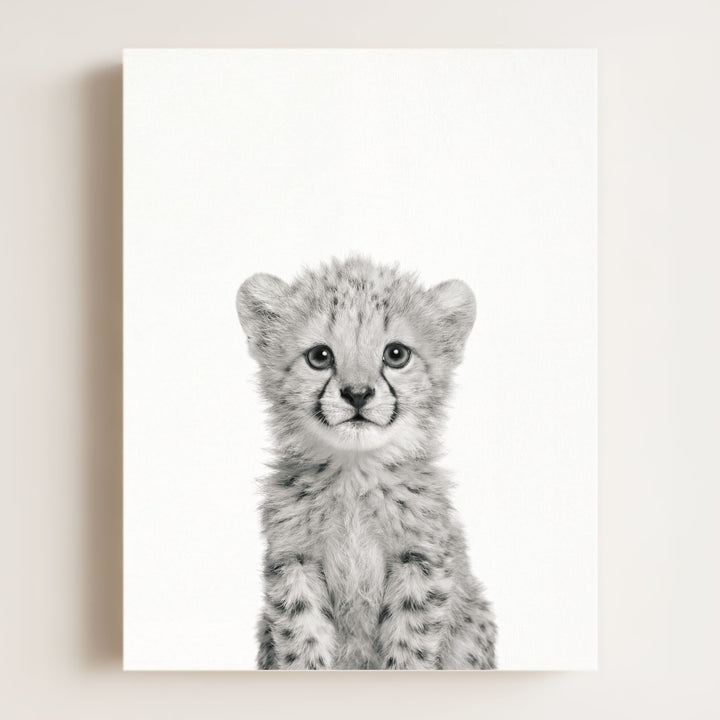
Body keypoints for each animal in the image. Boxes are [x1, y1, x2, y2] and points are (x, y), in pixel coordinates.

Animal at [236, 256, 496, 670]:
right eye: (320, 356)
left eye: (396, 354)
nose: (357, 394)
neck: (354, 476)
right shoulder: (294, 561)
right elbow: (302, 639)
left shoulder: (420, 561)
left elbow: (410, 645)